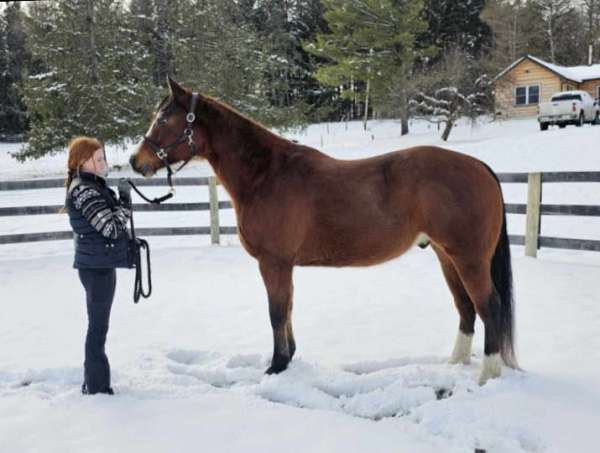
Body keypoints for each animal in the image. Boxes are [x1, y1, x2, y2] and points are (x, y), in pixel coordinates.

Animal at [130, 77, 516, 384]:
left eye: (164, 118)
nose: (136, 162)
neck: (267, 175)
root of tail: (478, 166)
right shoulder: (283, 265)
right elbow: (287, 309)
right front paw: (287, 360)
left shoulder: (274, 262)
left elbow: (276, 311)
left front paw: (276, 366)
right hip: (446, 255)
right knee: (466, 308)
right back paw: (455, 364)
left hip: (468, 259)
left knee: (489, 306)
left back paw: (487, 375)